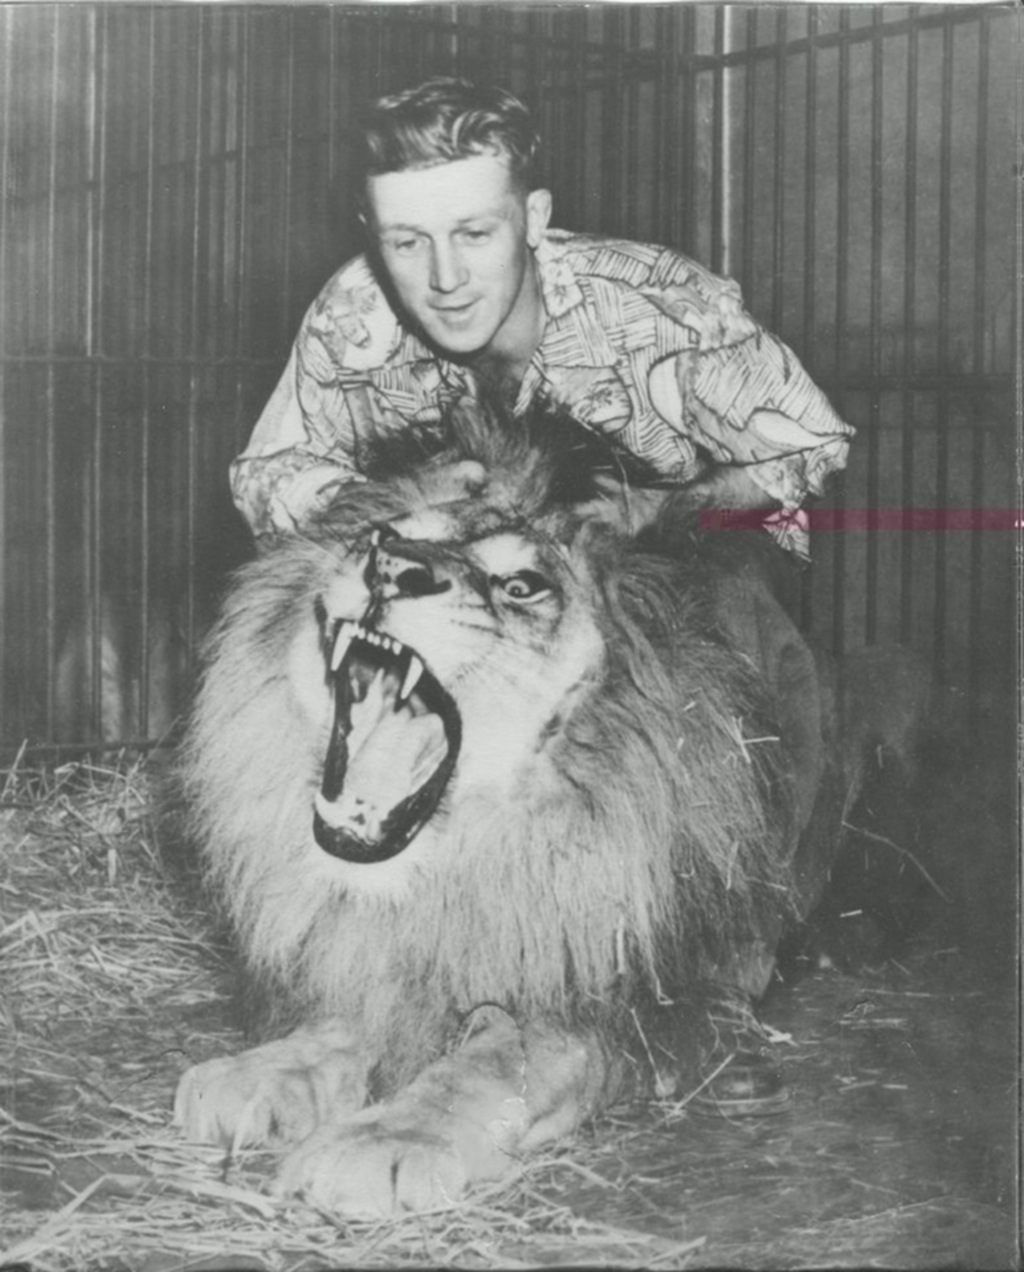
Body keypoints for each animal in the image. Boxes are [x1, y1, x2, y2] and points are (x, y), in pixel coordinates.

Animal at [171, 401, 915, 1216]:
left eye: (522, 584)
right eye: (381, 535)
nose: (389, 567)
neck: (478, 849)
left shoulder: (643, 997)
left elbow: (511, 1053)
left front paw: (386, 1139)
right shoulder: (399, 950)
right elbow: (348, 1014)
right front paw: (263, 1071)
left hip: (885, 682)